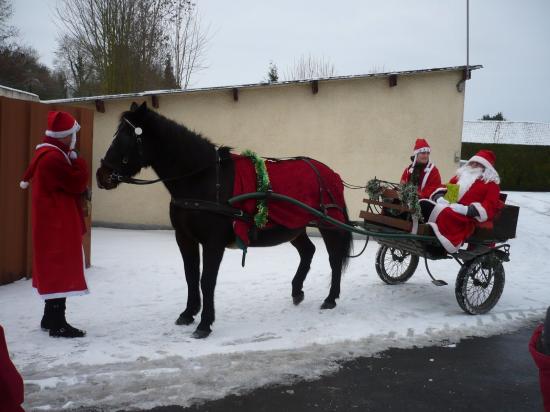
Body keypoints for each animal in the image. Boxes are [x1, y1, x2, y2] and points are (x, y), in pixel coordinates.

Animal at [96, 103, 354, 338]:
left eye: (125, 138)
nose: (102, 175)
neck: (203, 178)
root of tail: (329, 173)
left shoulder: (213, 242)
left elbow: (207, 280)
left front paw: (204, 324)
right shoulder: (185, 238)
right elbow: (191, 275)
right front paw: (188, 313)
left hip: (328, 224)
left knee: (334, 259)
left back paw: (330, 298)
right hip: (293, 227)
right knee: (308, 251)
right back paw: (297, 291)